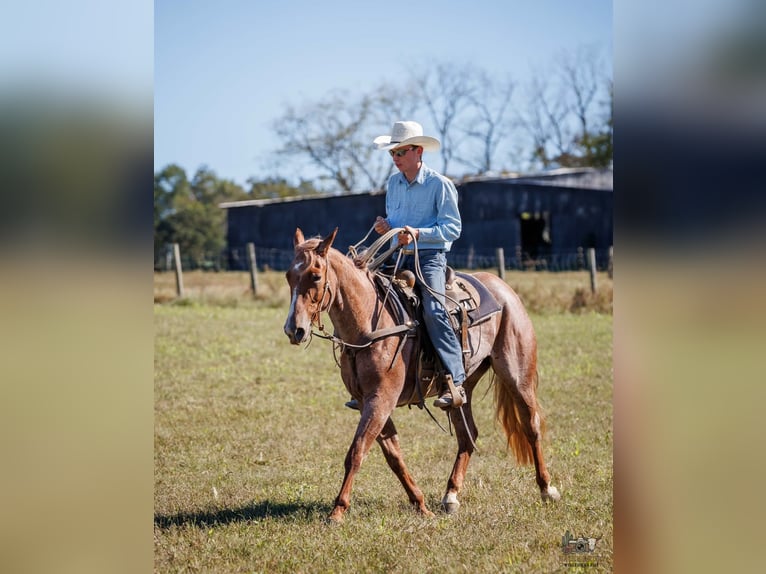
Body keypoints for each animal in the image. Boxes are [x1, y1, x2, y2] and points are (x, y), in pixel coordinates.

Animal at [283, 227, 560, 523]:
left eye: (315, 275)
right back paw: (451, 495)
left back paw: (547, 489)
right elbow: (393, 456)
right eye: (289, 276)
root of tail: (503, 289)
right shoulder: (370, 402)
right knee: (468, 435)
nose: (294, 330)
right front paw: (420, 504)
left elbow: (357, 452)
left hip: (518, 375)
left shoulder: (381, 400)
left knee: (531, 426)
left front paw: (337, 510)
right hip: (462, 390)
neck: (368, 324)